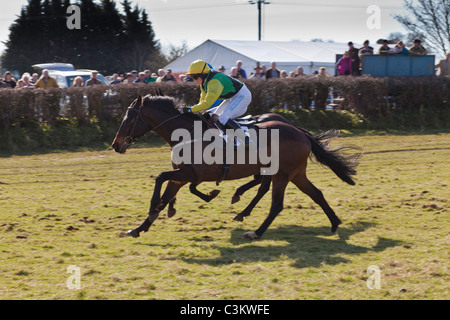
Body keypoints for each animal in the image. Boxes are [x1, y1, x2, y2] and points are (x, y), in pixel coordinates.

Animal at [112, 95, 362, 240]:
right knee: (315, 193)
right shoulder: (181, 176)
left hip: (282, 173)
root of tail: (300, 132)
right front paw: (139, 228)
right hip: (296, 173)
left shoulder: (188, 173)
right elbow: (166, 194)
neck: (187, 133)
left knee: (276, 203)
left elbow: (160, 179)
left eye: (129, 118)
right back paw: (334, 224)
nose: (116, 144)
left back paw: (255, 231)